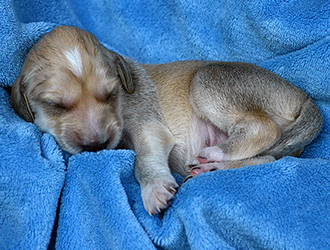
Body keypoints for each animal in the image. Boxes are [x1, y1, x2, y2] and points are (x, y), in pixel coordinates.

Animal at [10, 26, 322, 216]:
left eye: (110, 94)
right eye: (56, 106)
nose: (97, 145)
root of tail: (304, 97)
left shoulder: (148, 126)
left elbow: (143, 160)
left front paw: (154, 190)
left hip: (206, 82)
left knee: (263, 129)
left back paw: (216, 154)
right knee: (268, 159)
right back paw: (211, 168)